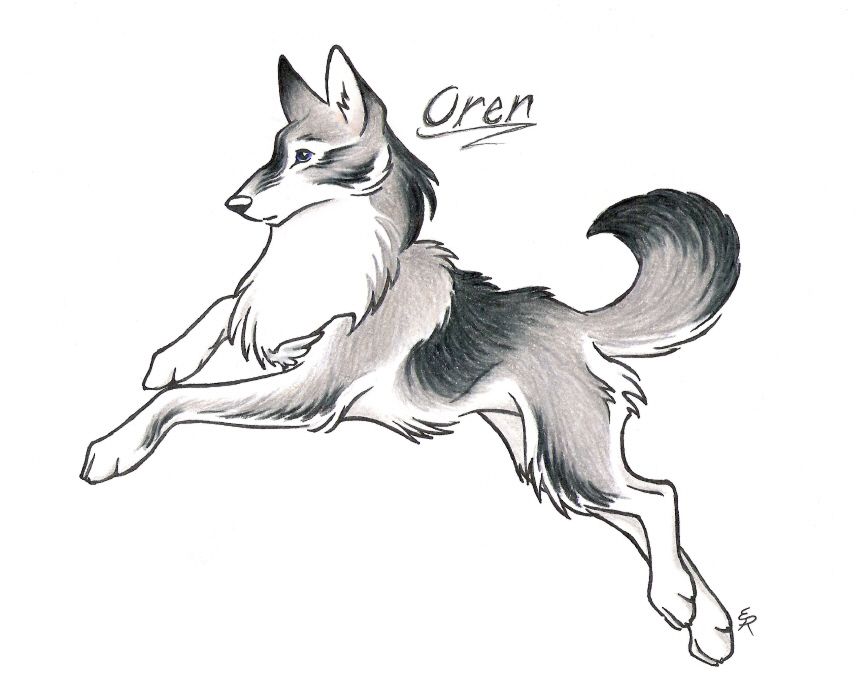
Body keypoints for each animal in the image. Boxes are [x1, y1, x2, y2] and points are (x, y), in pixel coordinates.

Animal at [81, 46, 740, 665]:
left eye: (305, 156)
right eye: (274, 152)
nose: (233, 203)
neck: (326, 250)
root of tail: (574, 319)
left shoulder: (306, 387)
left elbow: (181, 398)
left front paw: (117, 445)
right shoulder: (273, 330)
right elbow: (224, 308)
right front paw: (172, 355)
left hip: (570, 458)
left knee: (660, 497)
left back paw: (677, 599)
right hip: (552, 461)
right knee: (649, 516)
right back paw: (705, 622)